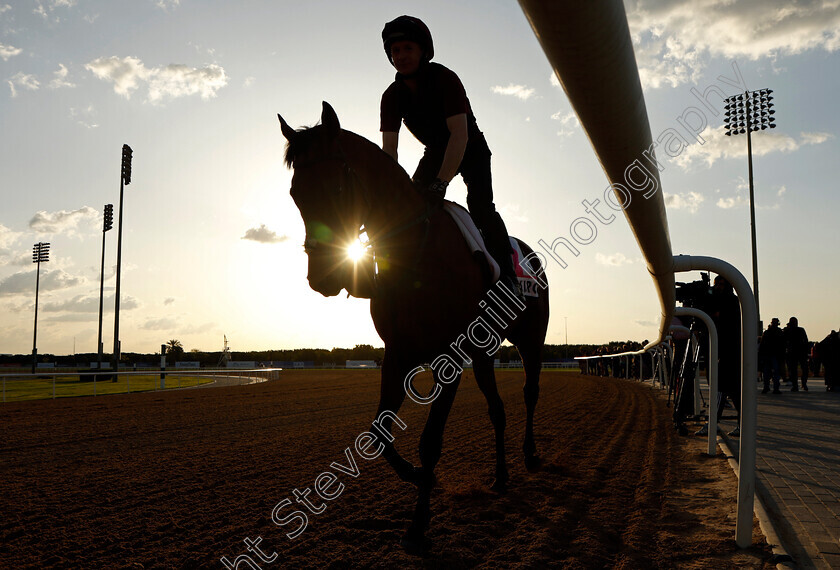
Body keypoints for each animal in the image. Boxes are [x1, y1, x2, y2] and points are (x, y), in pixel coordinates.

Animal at [278, 102, 548, 552]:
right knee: (497, 409)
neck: (417, 255)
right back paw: (501, 475)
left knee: (529, 393)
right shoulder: (398, 352)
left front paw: (419, 523)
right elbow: (378, 433)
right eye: (296, 193)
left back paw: (529, 454)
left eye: (337, 189)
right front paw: (418, 478)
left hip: (530, 341)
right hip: (484, 355)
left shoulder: (450, 358)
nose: (323, 277)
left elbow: (430, 441)